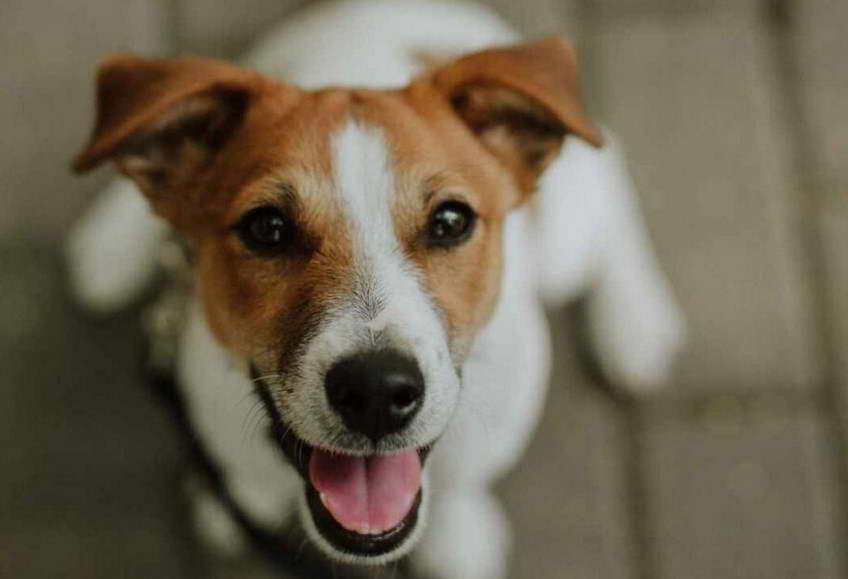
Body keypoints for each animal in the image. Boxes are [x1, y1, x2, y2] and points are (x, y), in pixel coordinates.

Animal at [69, 2, 684, 576]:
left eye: (451, 221)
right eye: (267, 228)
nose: (376, 393)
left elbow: (463, 488)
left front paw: (460, 538)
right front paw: (226, 501)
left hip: (565, 237)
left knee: (612, 164)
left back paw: (636, 323)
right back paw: (108, 247)